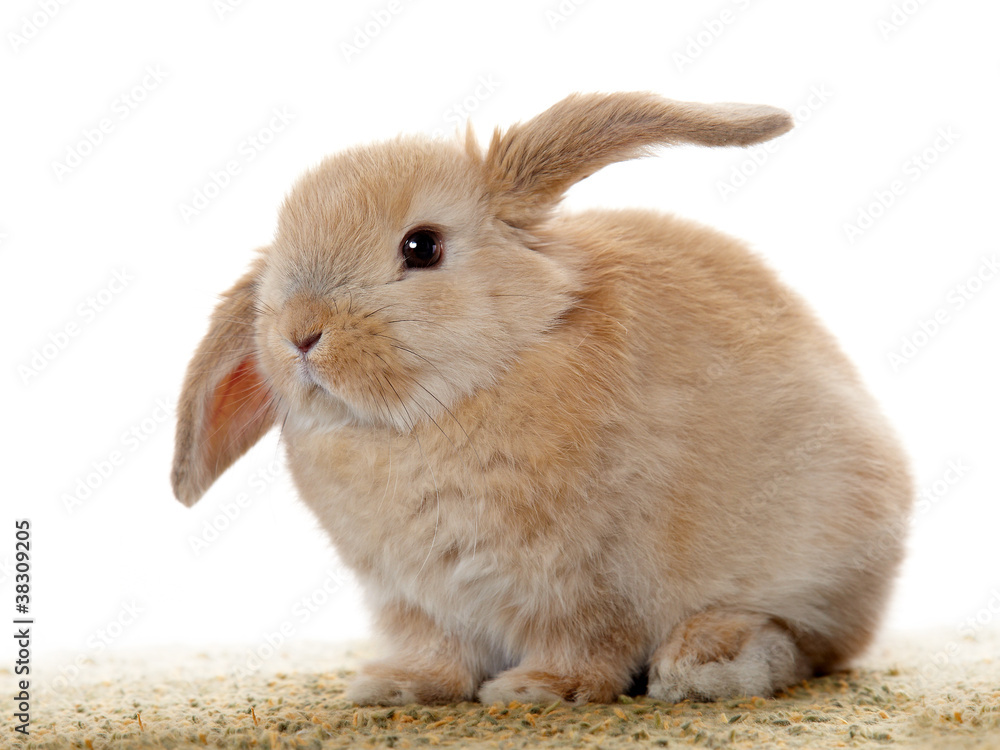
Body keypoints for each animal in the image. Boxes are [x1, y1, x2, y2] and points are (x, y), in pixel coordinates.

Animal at [171, 92, 913, 706]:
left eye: (421, 246)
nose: (298, 333)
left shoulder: (585, 580)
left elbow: (587, 643)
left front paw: (537, 689)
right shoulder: (414, 598)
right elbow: (438, 651)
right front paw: (395, 686)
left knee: (803, 642)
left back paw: (704, 665)